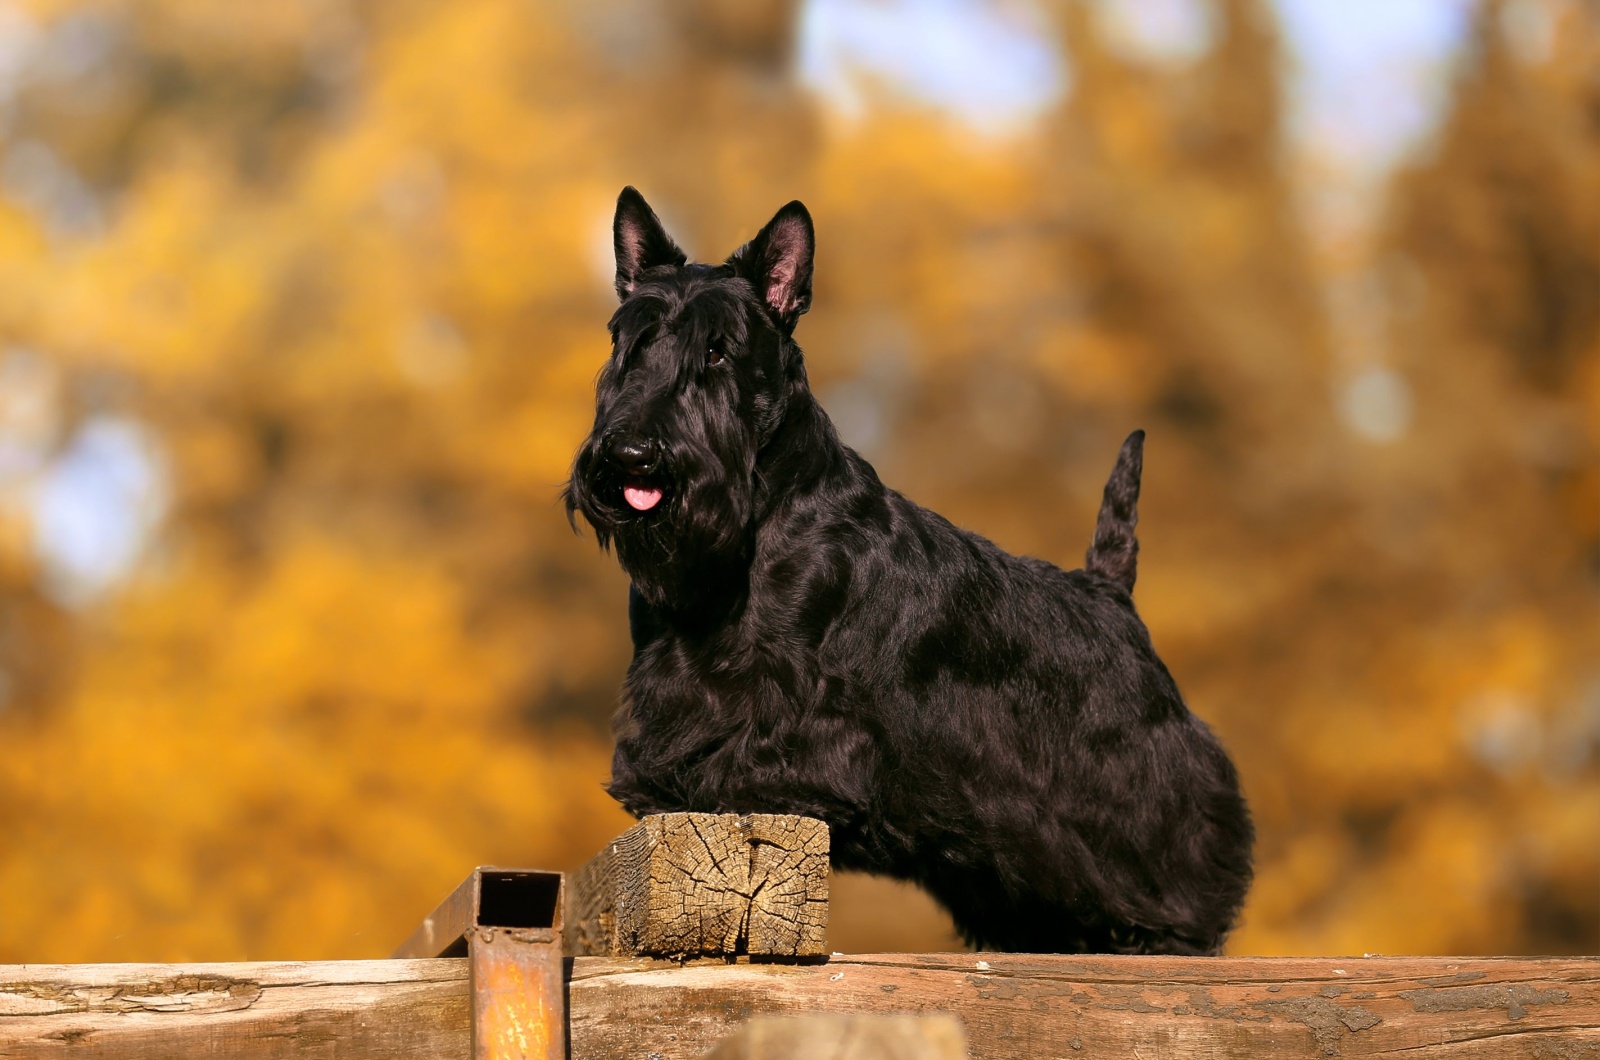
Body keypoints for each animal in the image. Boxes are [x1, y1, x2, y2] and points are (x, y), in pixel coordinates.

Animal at [569, 186, 1254, 960]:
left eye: (718, 350)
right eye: (630, 343)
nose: (630, 454)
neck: (744, 537)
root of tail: (1110, 594)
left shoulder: (804, 705)